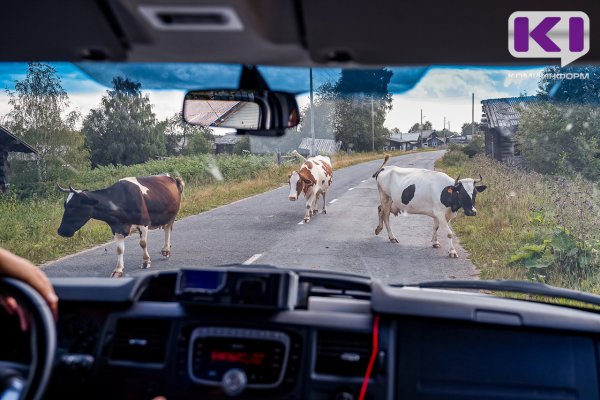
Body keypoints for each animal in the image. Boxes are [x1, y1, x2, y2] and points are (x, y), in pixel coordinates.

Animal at [56, 173, 184, 276]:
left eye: (73, 207)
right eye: (65, 205)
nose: (60, 231)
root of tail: (171, 177)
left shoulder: (144, 223)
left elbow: (143, 243)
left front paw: (146, 261)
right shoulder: (116, 228)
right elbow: (119, 249)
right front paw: (118, 270)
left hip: (172, 215)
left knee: (167, 230)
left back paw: (166, 250)